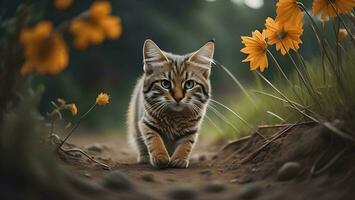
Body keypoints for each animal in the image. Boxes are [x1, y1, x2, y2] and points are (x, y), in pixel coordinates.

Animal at [128, 38, 214, 168]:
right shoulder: (145, 122)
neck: (174, 117)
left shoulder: (192, 129)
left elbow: (186, 143)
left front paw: (179, 158)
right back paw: (144, 157)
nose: (178, 98)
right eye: (165, 84)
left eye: (189, 84)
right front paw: (161, 157)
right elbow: (154, 139)